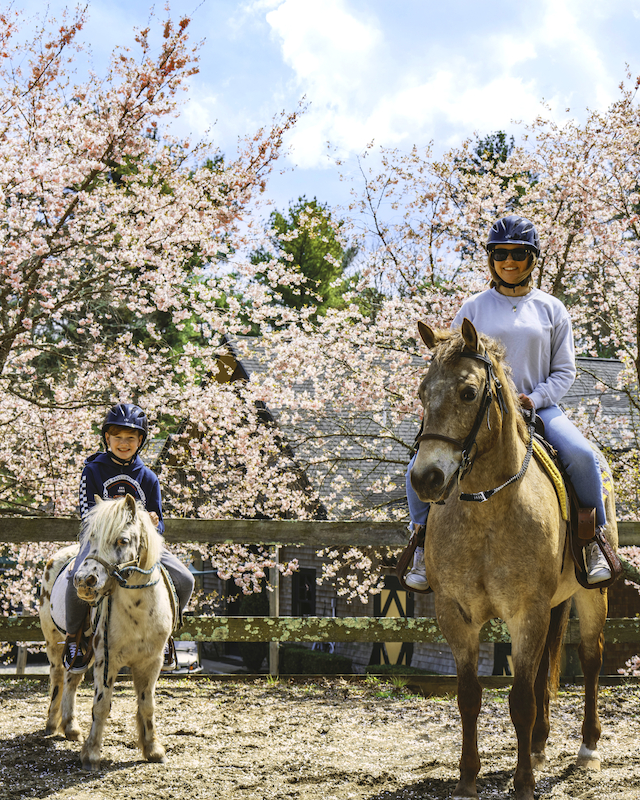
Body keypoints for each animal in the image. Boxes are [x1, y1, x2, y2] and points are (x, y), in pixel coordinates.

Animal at [410, 318, 616, 800]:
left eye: (468, 392)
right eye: (423, 392)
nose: (425, 478)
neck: (487, 507)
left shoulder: (527, 612)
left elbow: (520, 699)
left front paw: (523, 784)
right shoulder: (455, 613)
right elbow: (469, 696)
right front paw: (468, 779)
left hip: (589, 597)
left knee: (591, 659)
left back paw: (588, 749)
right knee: (543, 671)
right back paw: (538, 747)